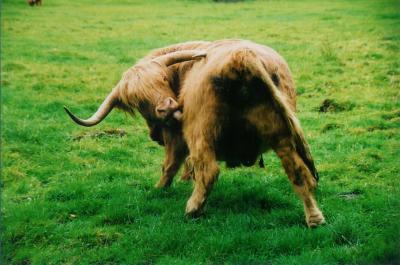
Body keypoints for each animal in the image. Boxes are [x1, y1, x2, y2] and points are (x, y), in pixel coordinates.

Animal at [65, 39, 324, 227]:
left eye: (162, 78)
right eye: (138, 101)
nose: (168, 107)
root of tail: (241, 57)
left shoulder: (176, 135)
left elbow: (170, 164)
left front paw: (160, 189)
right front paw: (183, 179)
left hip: (201, 133)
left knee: (208, 170)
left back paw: (192, 209)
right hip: (281, 136)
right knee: (298, 171)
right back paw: (314, 219)